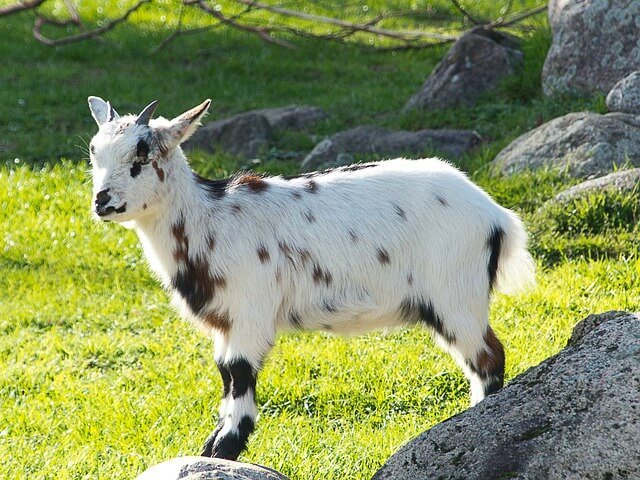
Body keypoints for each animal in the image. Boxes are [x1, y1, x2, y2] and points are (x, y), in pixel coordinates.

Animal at [85, 97, 536, 462]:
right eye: (94, 154)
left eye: (141, 156)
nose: (102, 201)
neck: (208, 220)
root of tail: (496, 215)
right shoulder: (225, 322)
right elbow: (226, 375)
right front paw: (211, 447)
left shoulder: (250, 310)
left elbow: (240, 374)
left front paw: (225, 449)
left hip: (455, 294)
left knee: (488, 358)